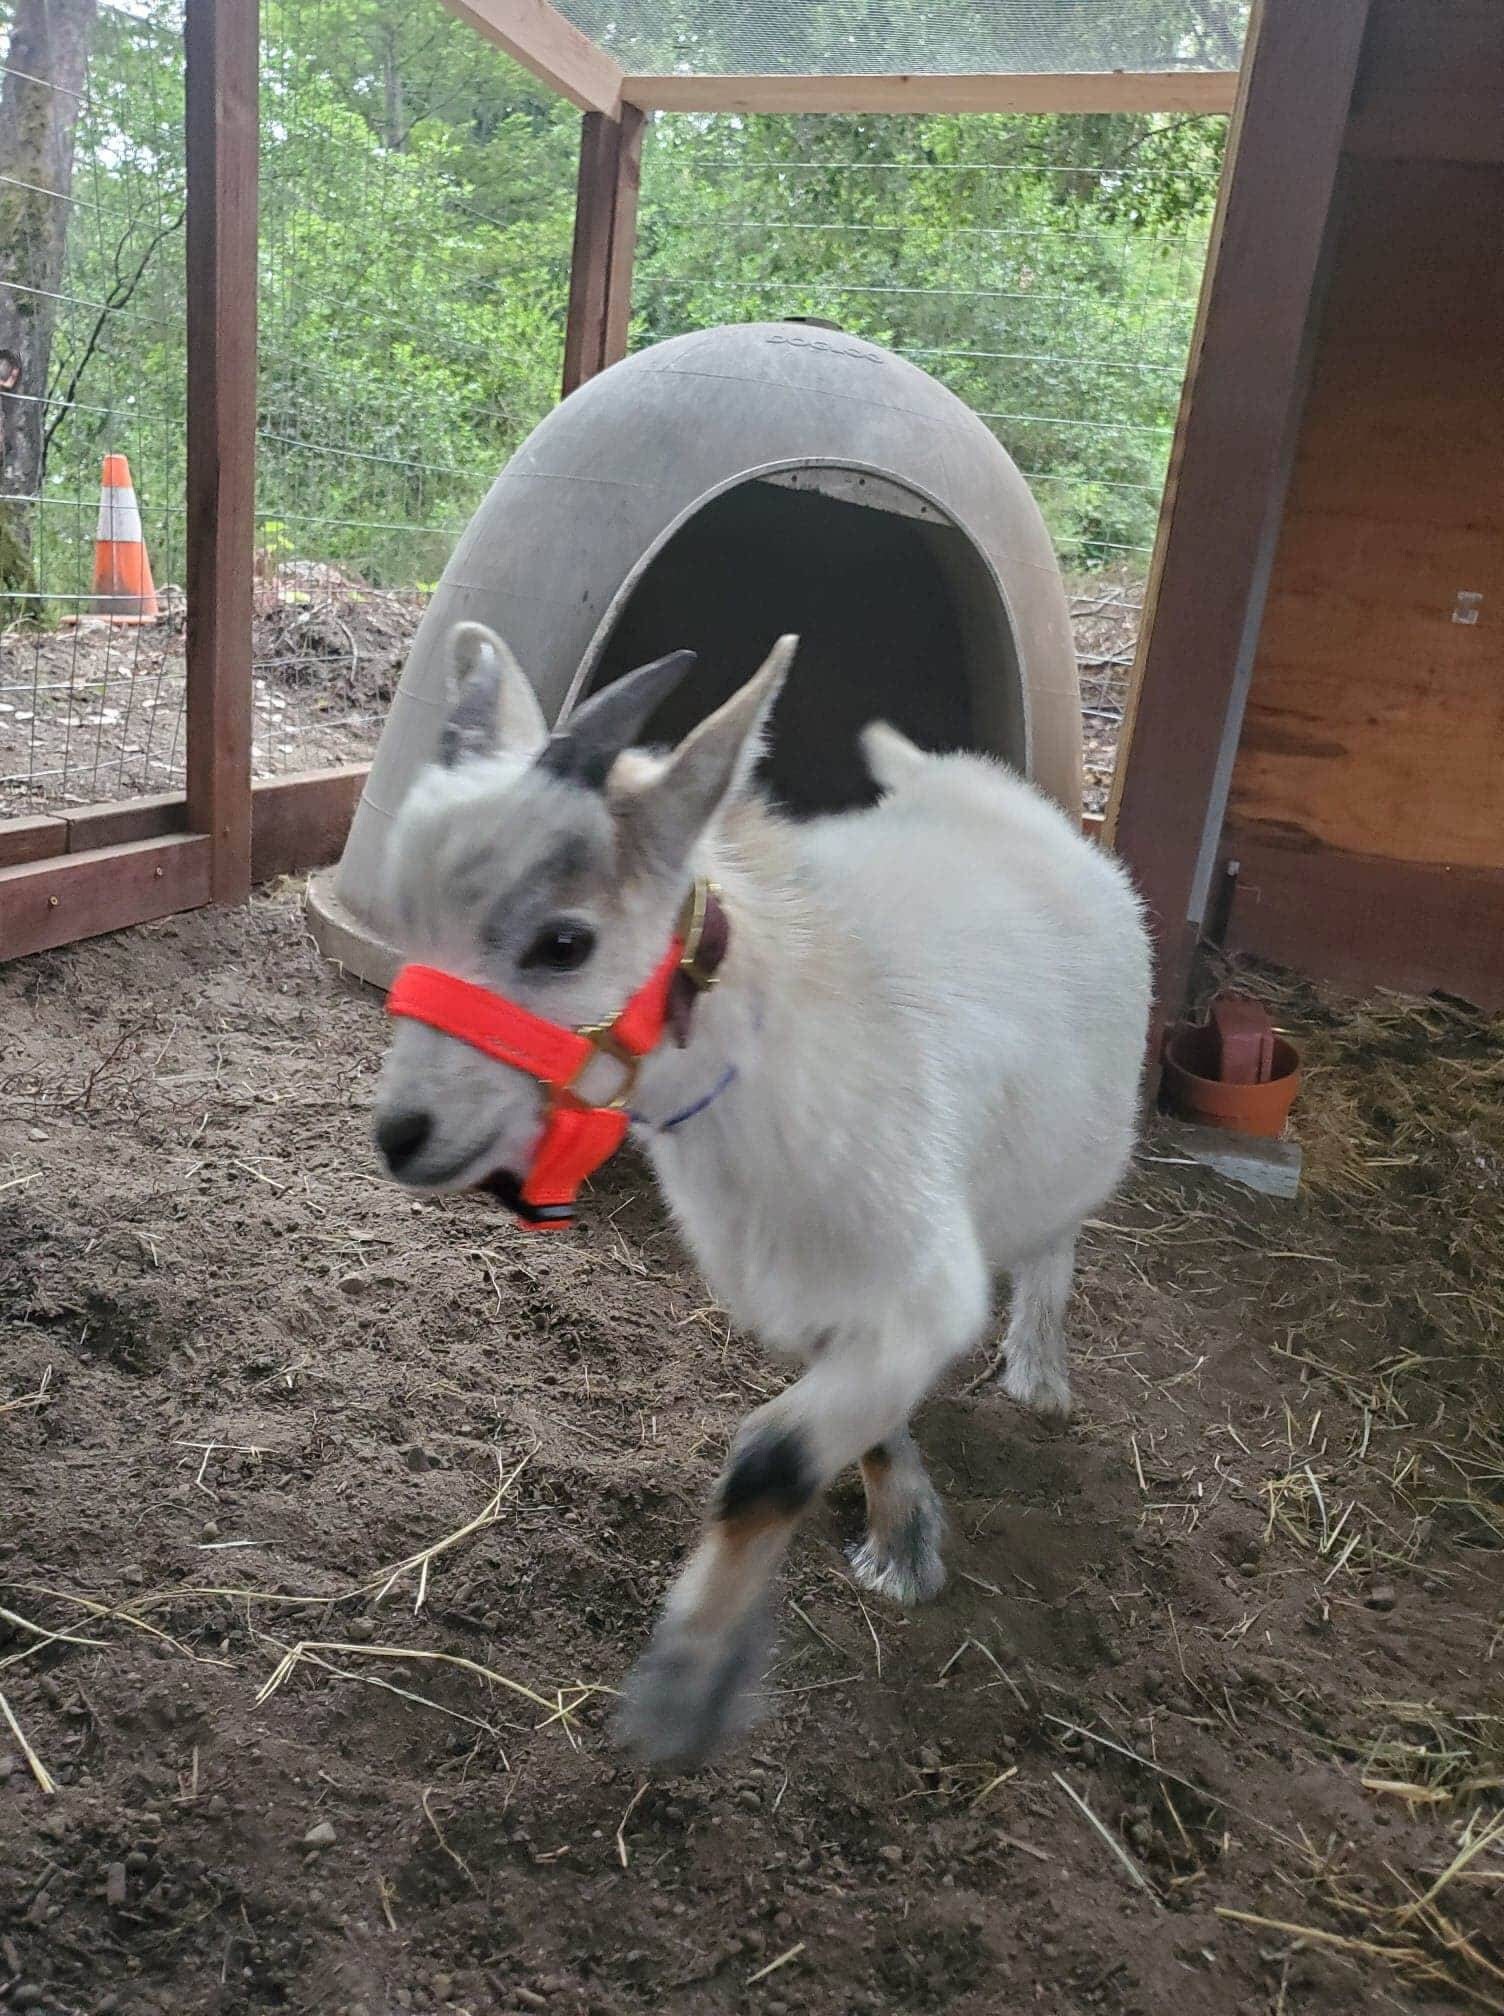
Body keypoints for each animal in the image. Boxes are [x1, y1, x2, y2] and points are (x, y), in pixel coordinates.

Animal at [372, 623, 1151, 1768]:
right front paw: (902, 1532)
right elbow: (859, 1427)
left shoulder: (923, 1282)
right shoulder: (814, 1296)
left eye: (563, 942)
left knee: (1056, 1237)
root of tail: (971, 785)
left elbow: (766, 1461)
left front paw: (685, 1689)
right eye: (408, 920)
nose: (403, 1136)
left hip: (1083, 1144)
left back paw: (1039, 1370)